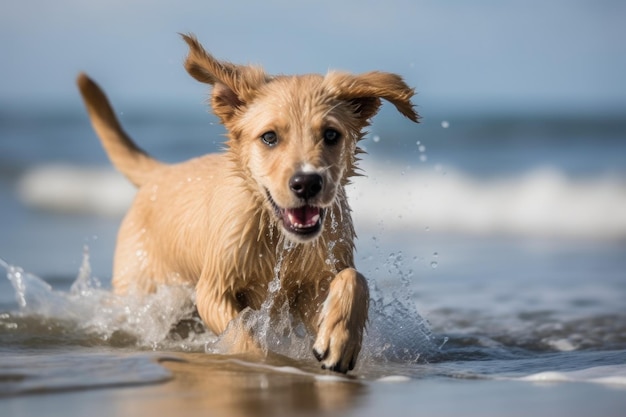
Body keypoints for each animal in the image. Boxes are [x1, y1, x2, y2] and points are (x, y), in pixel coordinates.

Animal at [78, 34, 420, 372]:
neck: (278, 234)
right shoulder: (214, 288)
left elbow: (355, 279)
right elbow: (242, 331)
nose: (307, 183)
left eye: (331, 135)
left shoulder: (316, 281)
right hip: (139, 289)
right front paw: (263, 362)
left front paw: (340, 337)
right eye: (269, 137)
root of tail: (161, 172)